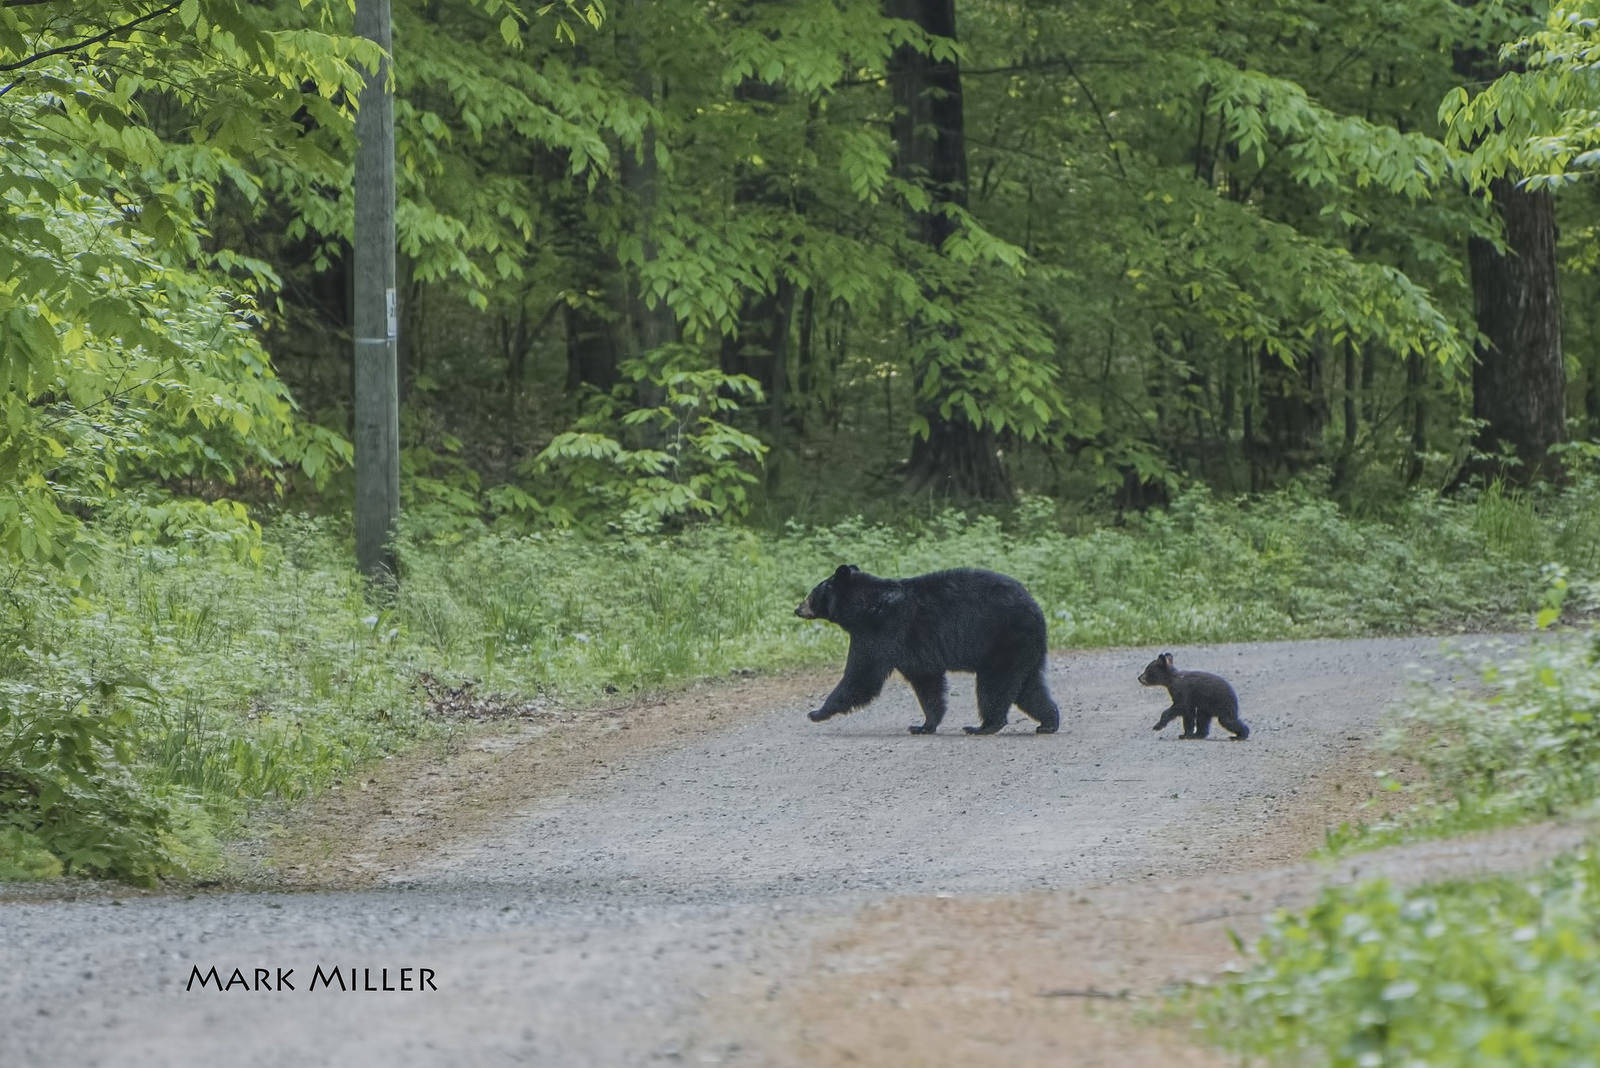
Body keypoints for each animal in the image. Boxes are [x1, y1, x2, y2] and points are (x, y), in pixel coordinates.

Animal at [794, 565, 1061, 735]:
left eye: (811, 594)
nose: (797, 609)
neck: (866, 606)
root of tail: (1037, 609)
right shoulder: (915, 652)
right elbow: (927, 683)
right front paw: (924, 725)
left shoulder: (882, 631)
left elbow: (862, 675)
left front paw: (816, 712)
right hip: (1024, 650)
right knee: (1028, 688)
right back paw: (1048, 722)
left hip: (1003, 641)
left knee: (994, 685)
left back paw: (983, 726)